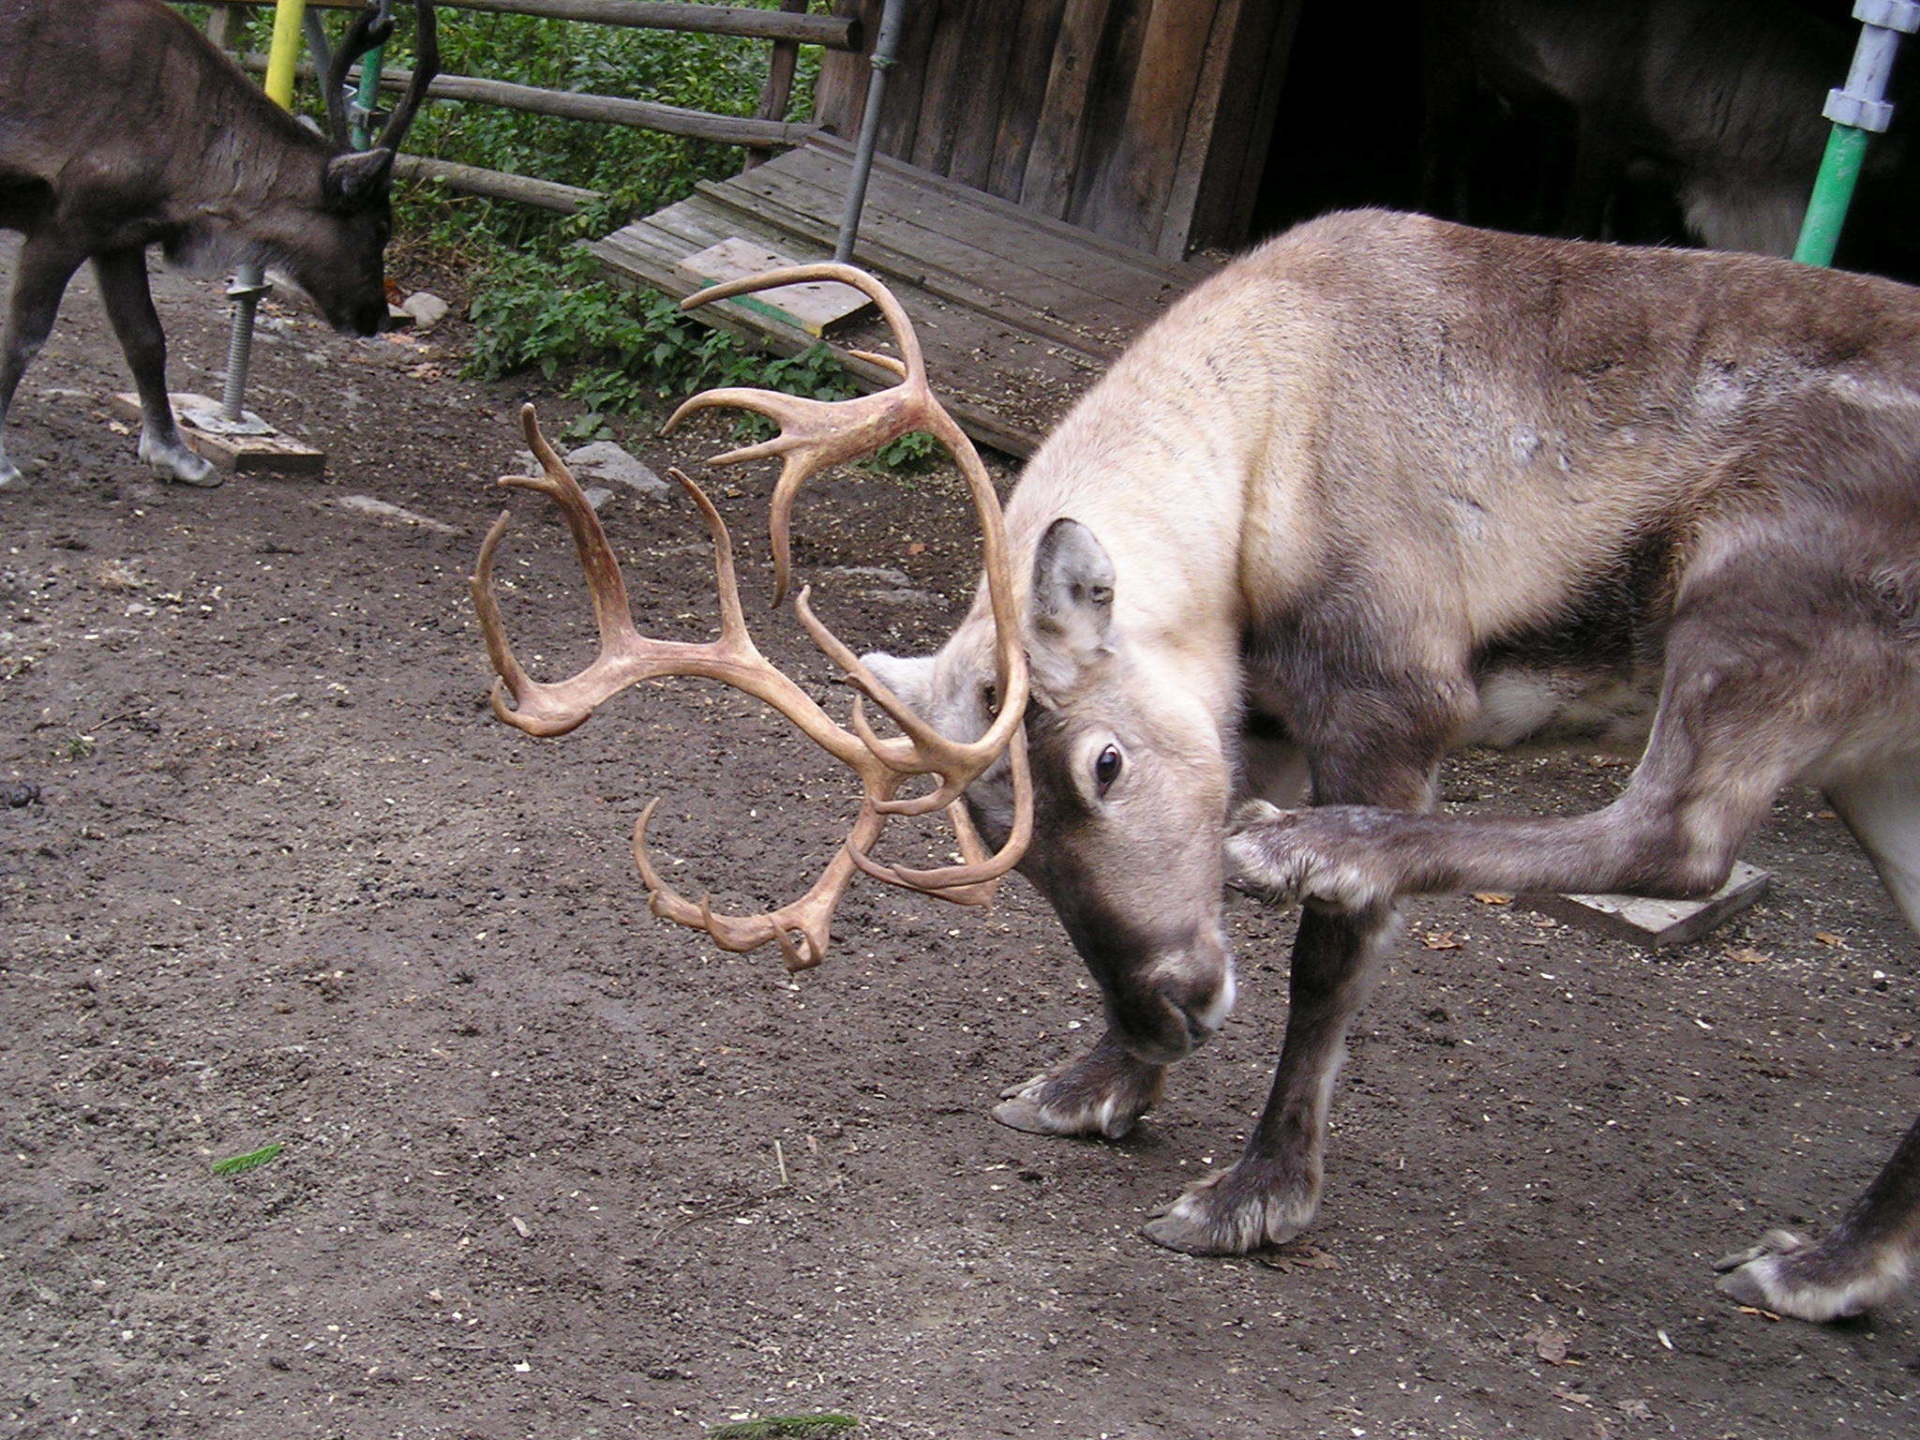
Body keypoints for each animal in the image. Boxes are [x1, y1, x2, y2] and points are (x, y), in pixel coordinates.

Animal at [0, 0, 438, 490]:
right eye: (381, 228)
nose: (378, 318)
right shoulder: (64, 224)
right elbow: (24, 337)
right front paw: (2, 461)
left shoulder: (118, 237)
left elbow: (146, 339)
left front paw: (175, 455)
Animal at [473, 210, 1920, 1325]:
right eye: (994, 828)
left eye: (1105, 761)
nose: (1170, 1008)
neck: (1264, 432)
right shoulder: (1254, 705)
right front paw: (1096, 1083)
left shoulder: (1393, 689)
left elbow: (1331, 966)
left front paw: (1256, 1193)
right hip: (1881, 752)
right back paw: (1827, 1268)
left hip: (1762, 587)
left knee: (1683, 832)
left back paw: (1304, 842)